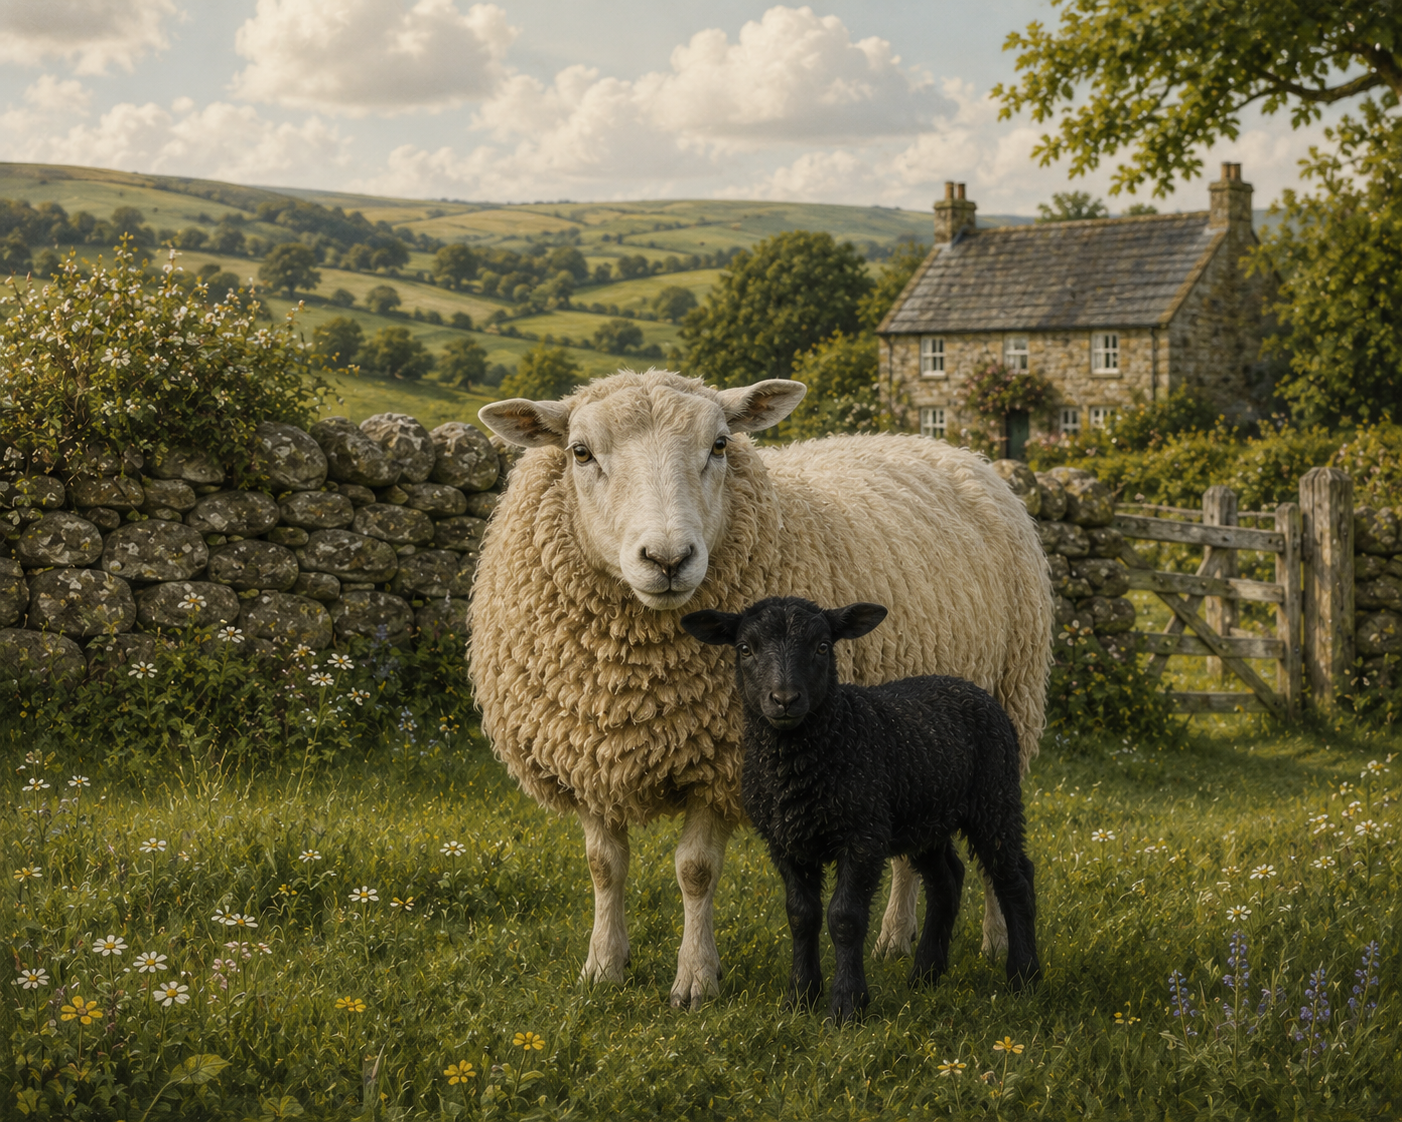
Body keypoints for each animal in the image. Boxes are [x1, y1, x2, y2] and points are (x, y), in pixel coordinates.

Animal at [681, 596, 1040, 1022]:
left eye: (823, 647)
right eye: (745, 649)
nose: (784, 700)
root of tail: (969, 688)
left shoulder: (863, 834)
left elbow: (844, 918)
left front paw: (847, 1005)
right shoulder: (786, 842)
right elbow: (801, 916)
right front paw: (800, 998)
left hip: (995, 798)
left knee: (1015, 878)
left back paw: (1024, 975)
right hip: (925, 816)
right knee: (947, 880)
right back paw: (926, 973)